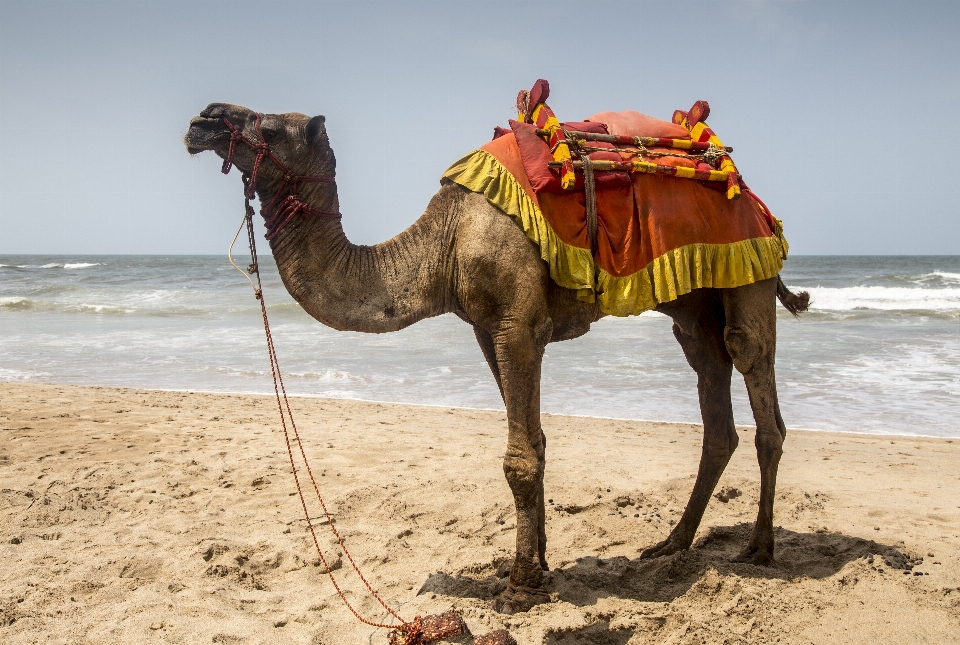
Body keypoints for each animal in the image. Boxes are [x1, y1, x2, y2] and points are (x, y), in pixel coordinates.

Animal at [184, 102, 808, 612]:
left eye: (266, 126)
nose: (203, 120)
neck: (444, 243)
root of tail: (754, 200)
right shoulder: (487, 331)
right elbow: (535, 442)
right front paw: (542, 565)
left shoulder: (518, 325)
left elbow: (518, 457)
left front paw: (519, 586)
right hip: (694, 302)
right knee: (711, 390)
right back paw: (672, 544)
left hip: (748, 268)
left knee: (754, 378)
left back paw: (759, 548)